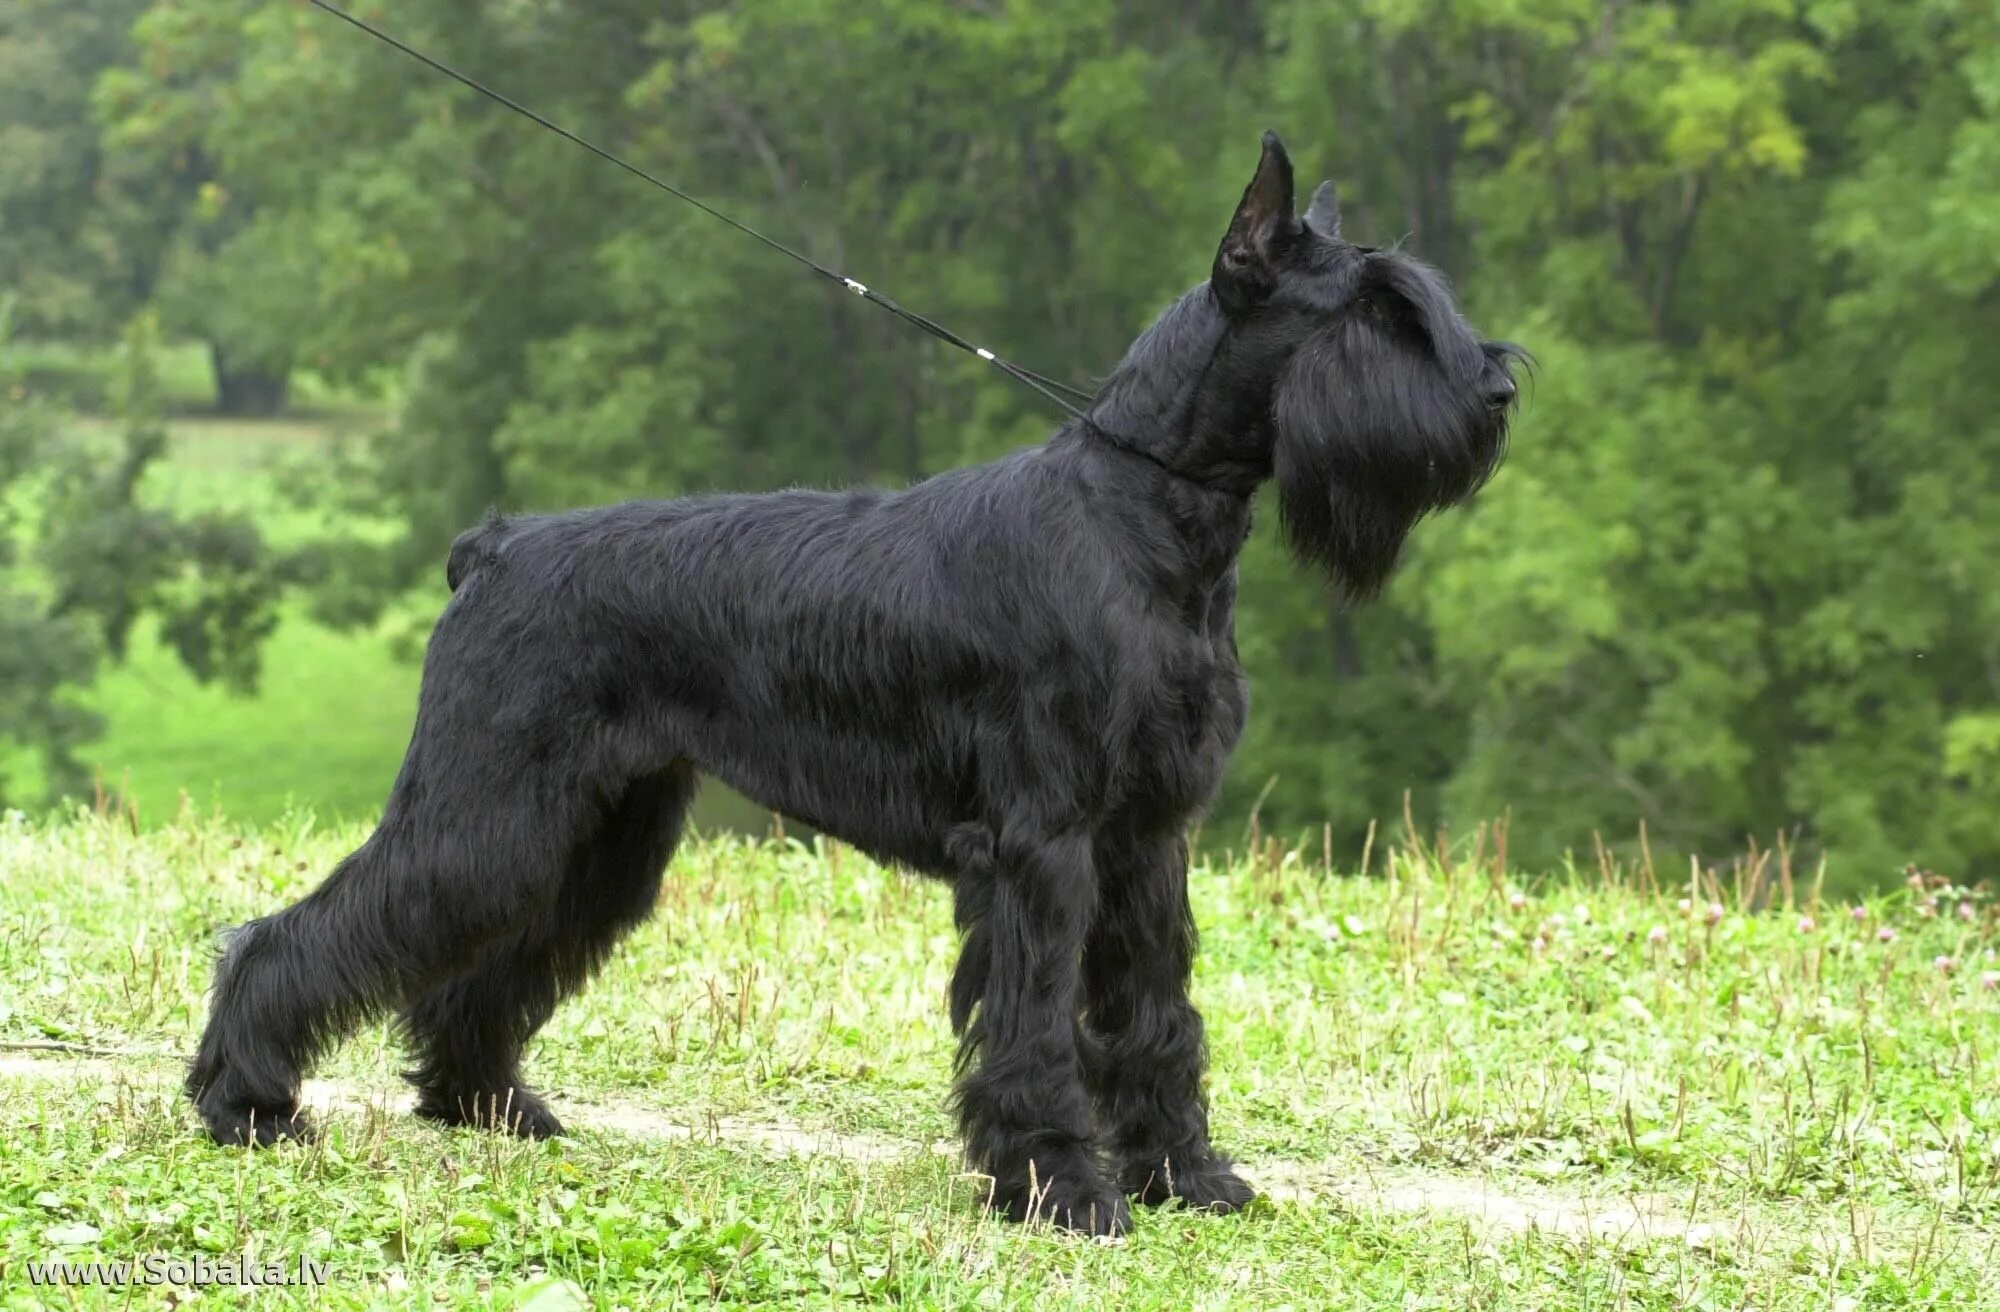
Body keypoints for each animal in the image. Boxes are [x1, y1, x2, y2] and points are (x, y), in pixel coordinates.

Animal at [191, 133, 1512, 1232]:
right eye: (1375, 311)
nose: (1495, 388)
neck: (1146, 517)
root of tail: (495, 547)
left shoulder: (1146, 838)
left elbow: (1155, 1019)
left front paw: (1185, 1175)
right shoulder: (1041, 843)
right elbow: (1038, 1025)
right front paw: (1059, 1186)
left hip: (594, 832)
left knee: (482, 966)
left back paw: (486, 1103)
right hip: (486, 809)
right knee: (294, 936)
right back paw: (247, 1102)